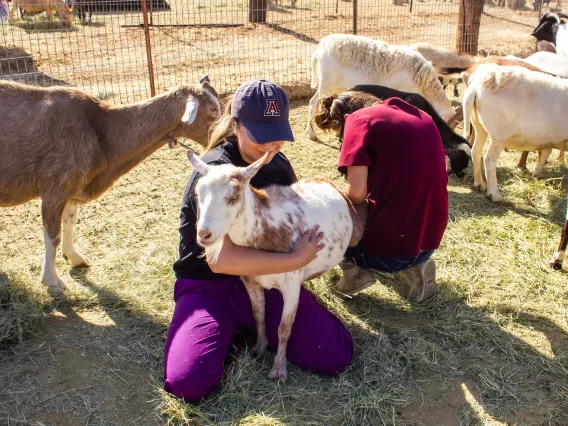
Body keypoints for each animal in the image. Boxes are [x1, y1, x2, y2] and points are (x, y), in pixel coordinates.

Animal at [0, 76, 221, 294]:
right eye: (212, 109)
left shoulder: (73, 188)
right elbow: (53, 235)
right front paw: (52, 280)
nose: (224, 134)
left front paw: (74, 257)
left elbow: (70, 221)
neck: (101, 129)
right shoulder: (55, 184)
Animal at [186, 151, 364, 384]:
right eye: (198, 193)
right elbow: (258, 314)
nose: (204, 235)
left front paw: (279, 371)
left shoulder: (291, 285)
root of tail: (327, 182)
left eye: (233, 197)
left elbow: (284, 328)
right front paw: (259, 349)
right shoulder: (250, 281)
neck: (267, 230)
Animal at [464, 64, 568, 202]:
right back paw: (494, 194)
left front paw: (536, 173)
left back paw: (479, 184)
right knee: (489, 160)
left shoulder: (549, 138)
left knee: (475, 152)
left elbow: (546, 152)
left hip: (479, 127)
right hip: (499, 135)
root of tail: (476, 86)